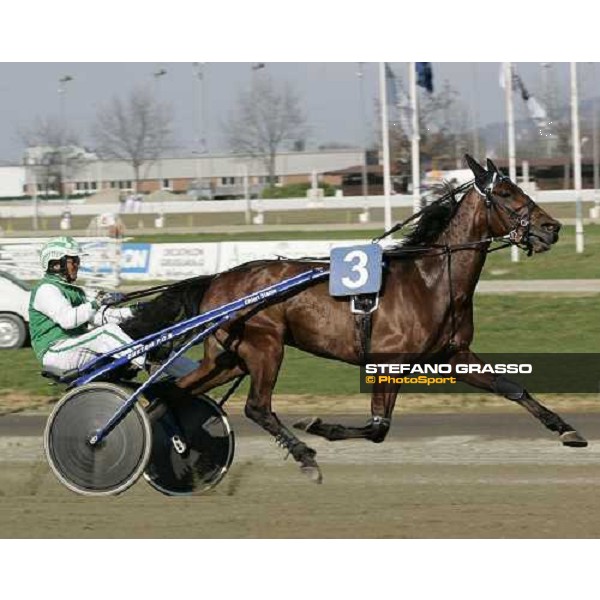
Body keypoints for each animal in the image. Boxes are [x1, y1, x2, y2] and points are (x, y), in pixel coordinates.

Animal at [120, 156, 584, 482]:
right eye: (505, 193)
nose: (553, 227)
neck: (430, 279)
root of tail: (218, 278)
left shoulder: (453, 355)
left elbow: (513, 387)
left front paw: (566, 429)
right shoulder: (389, 361)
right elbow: (378, 427)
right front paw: (318, 426)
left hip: (228, 358)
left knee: (168, 393)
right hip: (264, 346)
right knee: (256, 407)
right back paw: (304, 456)